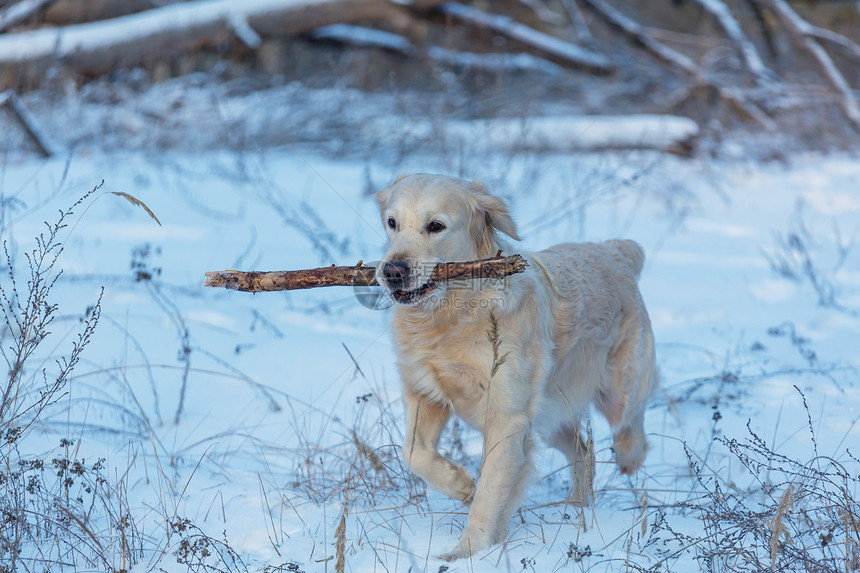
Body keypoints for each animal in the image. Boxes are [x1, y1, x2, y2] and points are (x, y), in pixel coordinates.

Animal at [372, 173, 656, 560]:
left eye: (436, 226)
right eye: (392, 222)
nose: (392, 271)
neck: (452, 314)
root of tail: (614, 250)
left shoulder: (507, 418)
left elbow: (490, 493)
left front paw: (466, 552)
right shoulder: (424, 395)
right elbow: (414, 453)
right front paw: (461, 484)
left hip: (618, 389)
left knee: (632, 420)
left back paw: (628, 458)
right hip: (549, 414)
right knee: (583, 451)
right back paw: (575, 509)